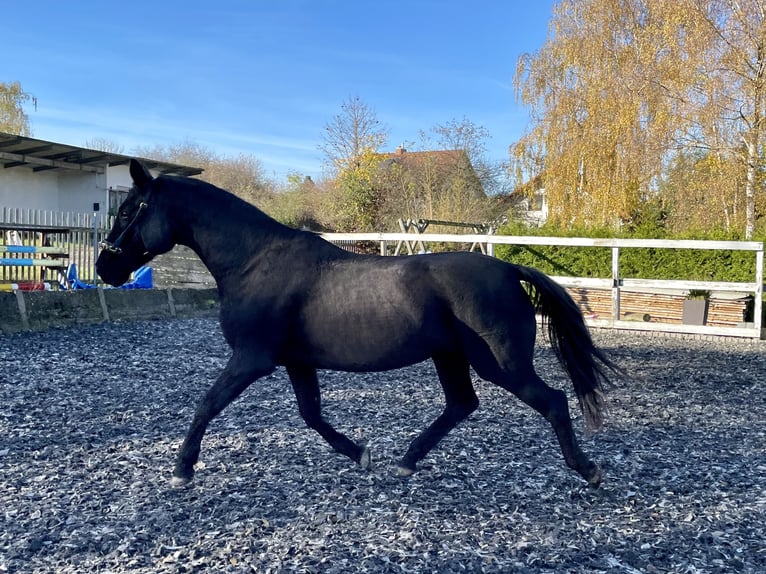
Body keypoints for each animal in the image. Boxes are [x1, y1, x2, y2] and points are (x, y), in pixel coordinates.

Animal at [97, 159, 624, 490]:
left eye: (126, 210)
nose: (104, 268)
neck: (255, 261)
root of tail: (509, 269)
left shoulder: (252, 359)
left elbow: (207, 404)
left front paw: (182, 469)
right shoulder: (295, 362)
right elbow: (311, 415)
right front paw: (361, 454)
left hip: (501, 364)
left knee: (552, 402)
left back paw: (588, 471)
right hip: (450, 356)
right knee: (461, 405)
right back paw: (405, 462)